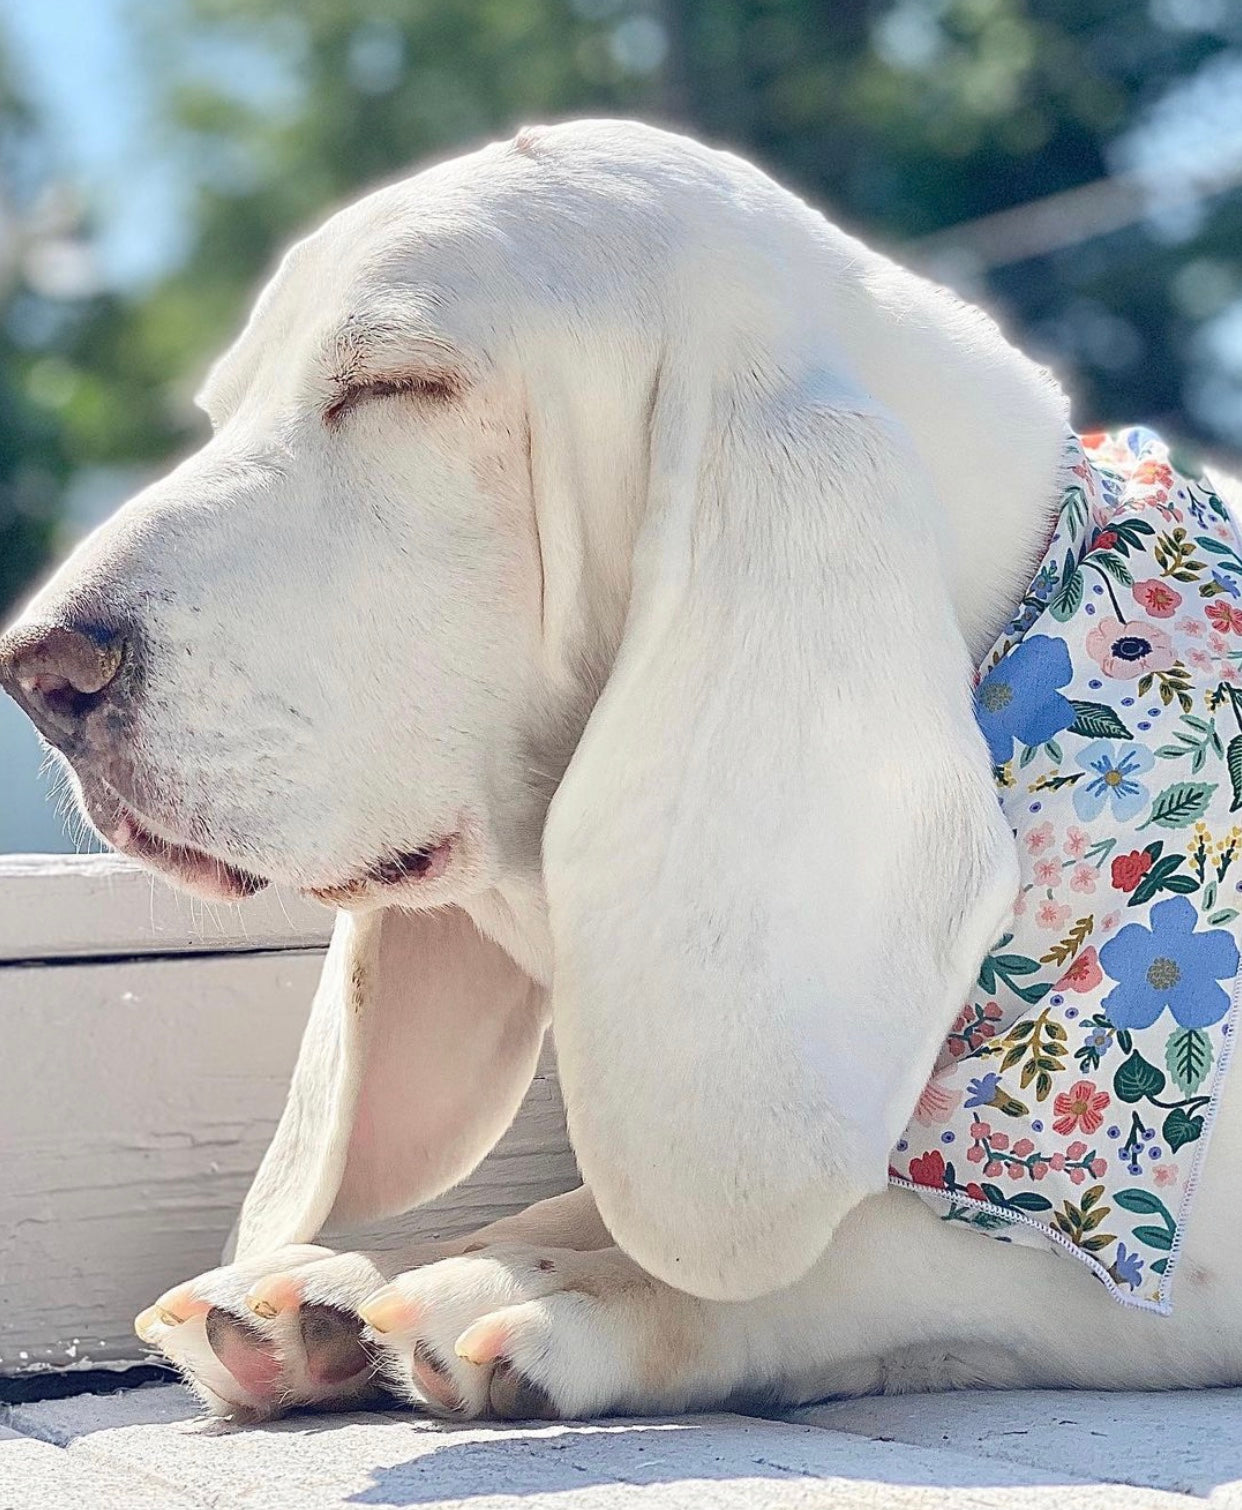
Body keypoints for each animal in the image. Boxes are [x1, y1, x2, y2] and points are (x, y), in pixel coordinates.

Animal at [2, 120, 1242, 1425]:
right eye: (220, 409)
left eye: (397, 386)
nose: (38, 668)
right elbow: (587, 1201)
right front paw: (354, 1279)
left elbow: (863, 1245)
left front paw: (547, 1294)